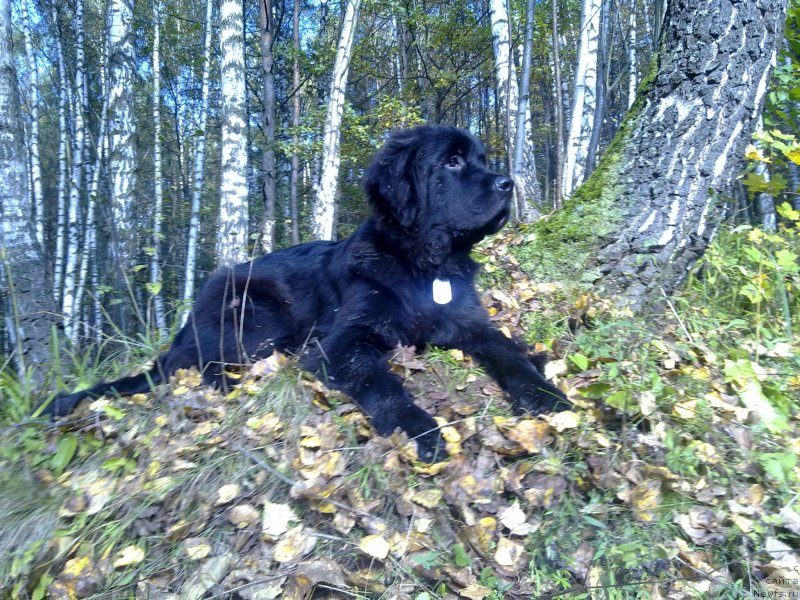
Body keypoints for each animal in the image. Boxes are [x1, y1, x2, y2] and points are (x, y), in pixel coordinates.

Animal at [42, 126, 568, 462]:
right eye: (453, 161)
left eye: (482, 160)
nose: (509, 182)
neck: (426, 266)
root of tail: (187, 322)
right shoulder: (341, 343)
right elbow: (384, 384)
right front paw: (420, 429)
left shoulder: (471, 323)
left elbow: (509, 353)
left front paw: (548, 396)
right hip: (257, 309)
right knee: (191, 367)